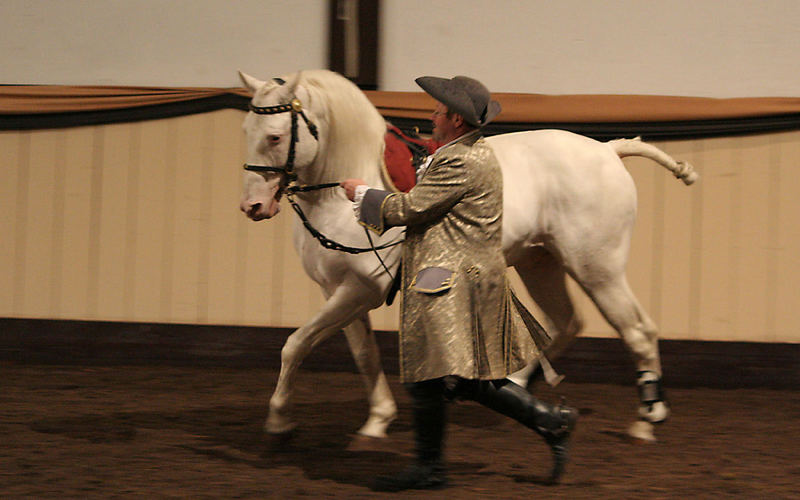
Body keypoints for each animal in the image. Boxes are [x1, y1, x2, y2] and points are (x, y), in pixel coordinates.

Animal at [236, 69, 692, 442]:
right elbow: (361, 354)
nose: (253, 207)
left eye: (275, 136)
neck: (339, 191)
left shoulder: (361, 288)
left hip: (598, 267)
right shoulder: (338, 290)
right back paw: (519, 390)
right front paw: (377, 420)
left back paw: (647, 419)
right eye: (245, 128)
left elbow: (296, 343)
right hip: (540, 261)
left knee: (637, 329)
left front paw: (279, 420)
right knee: (566, 323)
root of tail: (608, 151)